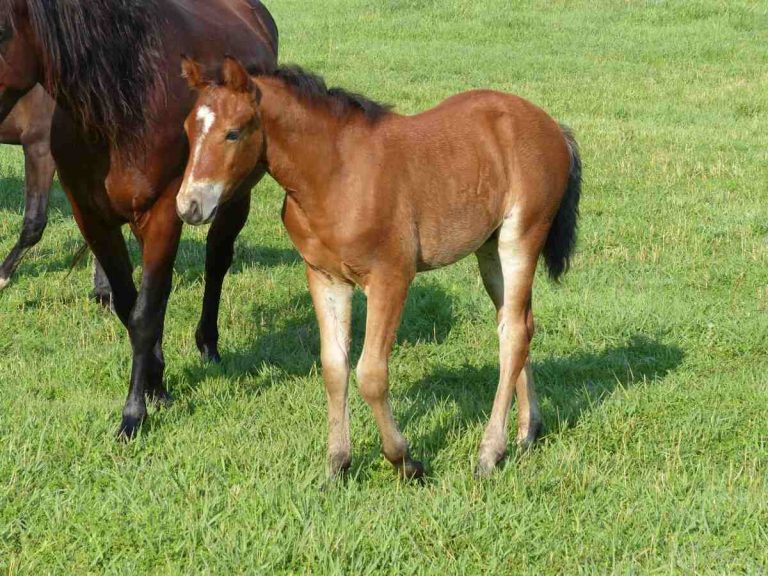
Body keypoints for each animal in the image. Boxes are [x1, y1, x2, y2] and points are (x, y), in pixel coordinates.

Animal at [0, 0, 280, 432]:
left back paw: (208, 344)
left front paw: (134, 413)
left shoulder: (165, 211)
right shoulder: (93, 218)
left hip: (232, 196)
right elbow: (128, 305)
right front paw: (155, 384)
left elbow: (144, 314)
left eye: (1, 31)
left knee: (217, 261)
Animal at [176, 57, 584, 476]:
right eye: (188, 128)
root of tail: (553, 127)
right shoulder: (326, 278)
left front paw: (404, 460)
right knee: (518, 325)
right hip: (489, 250)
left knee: (515, 332)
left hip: (521, 239)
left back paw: (489, 453)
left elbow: (370, 374)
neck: (335, 175)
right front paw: (337, 464)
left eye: (233, 133)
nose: (188, 206)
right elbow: (334, 367)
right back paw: (527, 431)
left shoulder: (391, 278)